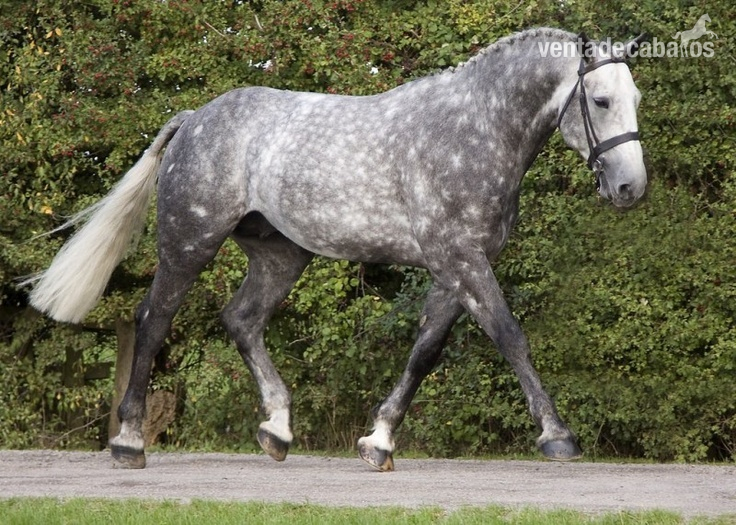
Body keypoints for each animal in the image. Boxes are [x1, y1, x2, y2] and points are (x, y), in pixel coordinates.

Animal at [25, 28, 647, 470]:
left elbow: (425, 352)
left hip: (281, 255)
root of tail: (193, 117)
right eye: (600, 100)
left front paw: (379, 441)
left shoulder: (457, 267)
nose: (630, 188)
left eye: (636, 97)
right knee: (153, 320)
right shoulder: (462, 261)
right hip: (189, 243)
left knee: (242, 319)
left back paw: (276, 431)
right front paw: (557, 435)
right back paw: (129, 442)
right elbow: (510, 336)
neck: (474, 131)